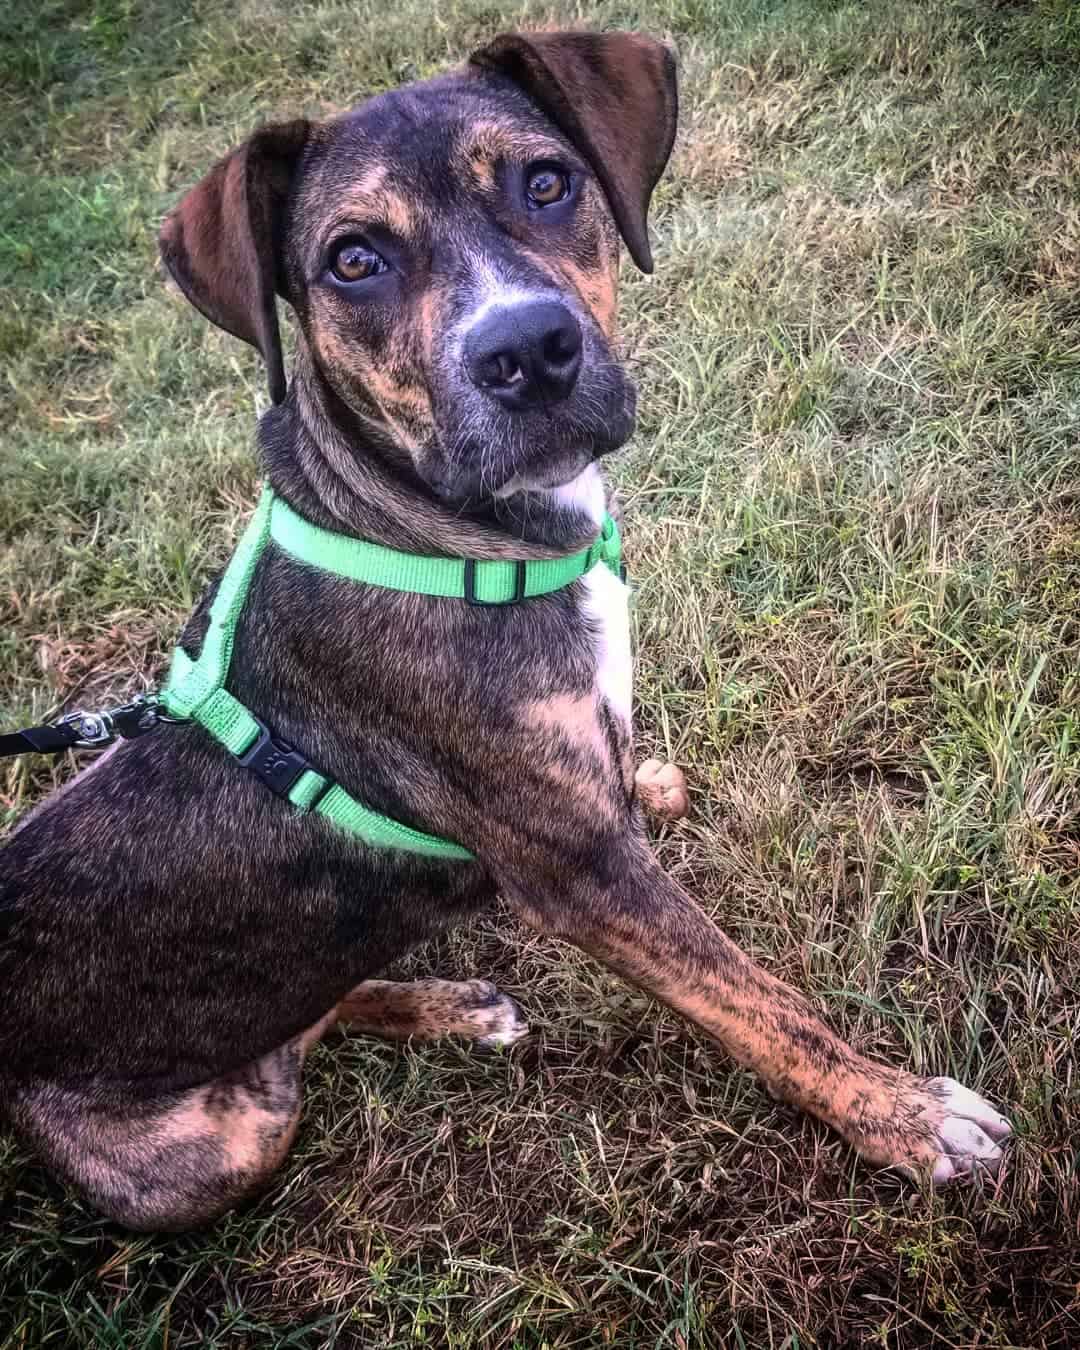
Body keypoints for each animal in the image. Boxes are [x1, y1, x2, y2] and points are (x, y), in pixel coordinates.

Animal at [2, 31, 1015, 1236]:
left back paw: (452, 1006)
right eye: (352, 259)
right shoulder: (581, 877)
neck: (446, 536)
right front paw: (903, 1115)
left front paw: (649, 778)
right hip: (209, 1156)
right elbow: (757, 1002)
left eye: (546, 182)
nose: (529, 348)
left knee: (310, 1016)